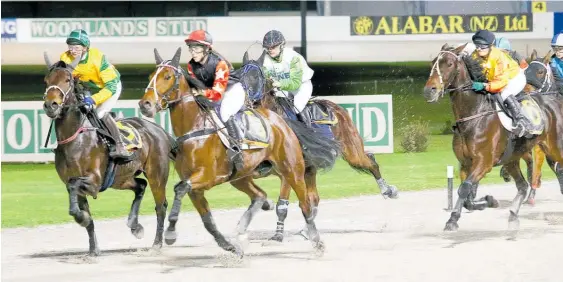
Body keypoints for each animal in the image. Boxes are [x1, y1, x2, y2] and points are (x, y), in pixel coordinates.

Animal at [42, 53, 176, 256]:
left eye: (67, 80)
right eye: (47, 80)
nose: (51, 105)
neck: (76, 138)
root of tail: (158, 129)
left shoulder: (94, 181)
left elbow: (75, 187)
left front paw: (81, 218)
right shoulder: (74, 184)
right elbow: (85, 214)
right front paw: (93, 249)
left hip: (157, 175)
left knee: (161, 206)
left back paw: (157, 244)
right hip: (121, 178)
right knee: (140, 186)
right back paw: (135, 225)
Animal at [138, 48, 340, 258]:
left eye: (167, 76)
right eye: (151, 76)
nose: (145, 104)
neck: (195, 129)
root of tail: (281, 121)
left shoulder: (208, 176)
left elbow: (179, 189)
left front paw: (170, 233)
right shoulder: (195, 187)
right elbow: (207, 221)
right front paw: (230, 247)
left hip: (292, 170)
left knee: (305, 204)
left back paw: (317, 242)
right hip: (240, 176)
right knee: (259, 195)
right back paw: (243, 229)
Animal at [426, 43, 563, 230]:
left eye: (449, 64)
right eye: (434, 62)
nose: (429, 90)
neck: (474, 114)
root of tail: (556, 102)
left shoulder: (484, 162)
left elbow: (465, 188)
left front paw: (453, 219)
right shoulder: (465, 163)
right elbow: (466, 193)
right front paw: (487, 202)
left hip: (555, 148)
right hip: (513, 158)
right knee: (522, 185)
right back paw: (513, 215)